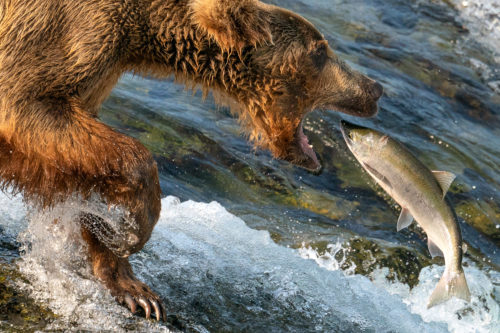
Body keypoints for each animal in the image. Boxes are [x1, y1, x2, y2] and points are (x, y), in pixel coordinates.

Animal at [0, 0, 382, 320]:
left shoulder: (94, 78)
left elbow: (81, 168)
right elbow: (31, 107)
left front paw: (132, 283)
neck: (141, 37)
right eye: (319, 51)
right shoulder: (57, 35)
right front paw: (131, 231)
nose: (374, 89)